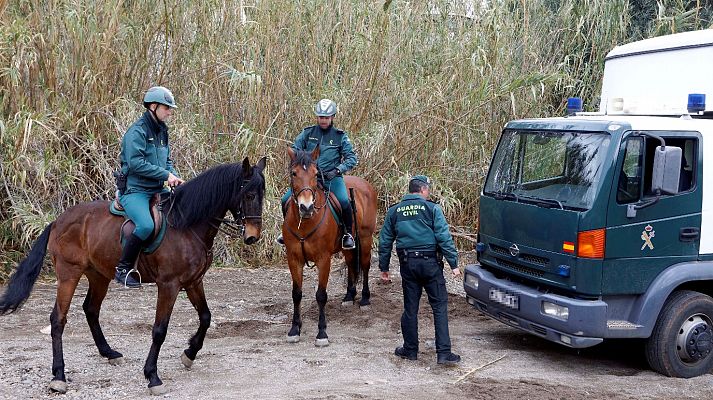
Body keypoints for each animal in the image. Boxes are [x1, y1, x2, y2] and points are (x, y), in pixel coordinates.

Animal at [0, 155, 266, 394]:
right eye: (249, 195)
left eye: (261, 195)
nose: (253, 237)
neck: (187, 225)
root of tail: (58, 220)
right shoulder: (168, 285)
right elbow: (159, 330)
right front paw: (152, 376)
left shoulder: (193, 282)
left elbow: (206, 317)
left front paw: (189, 353)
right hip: (68, 274)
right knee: (58, 319)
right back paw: (58, 377)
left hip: (99, 275)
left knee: (91, 309)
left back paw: (108, 353)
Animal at [282, 147, 378, 346]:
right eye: (294, 173)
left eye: (315, 173)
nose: (306, 207)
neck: (305, 222)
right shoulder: (293, 259)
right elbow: (296, 293)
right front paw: (295, 329)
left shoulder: (323, 259)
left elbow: (321, 295)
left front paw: (321, 333)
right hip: (348, 248)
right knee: (351, 265)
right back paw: (349, 296)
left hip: (366, 238)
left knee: (365, 266)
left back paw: (365, 299)